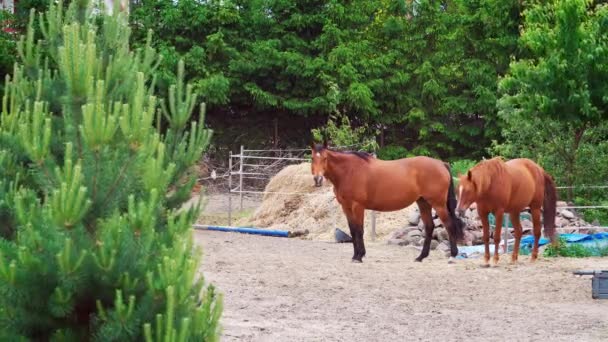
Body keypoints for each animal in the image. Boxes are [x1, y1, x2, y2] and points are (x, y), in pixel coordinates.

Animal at [312, 143, 464, 264]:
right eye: (313, 158)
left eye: (325, 158)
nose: (317, 179)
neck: (349, 171)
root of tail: (441, 164)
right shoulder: (346, 207)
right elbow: (353, 230)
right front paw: (355, 255)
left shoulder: (358, 207)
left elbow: (359, 230)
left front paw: (359, 256)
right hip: (423, 202)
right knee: (429, 227)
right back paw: (420, 257)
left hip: (438, 204)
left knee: (449, 225)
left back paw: (452, 256)